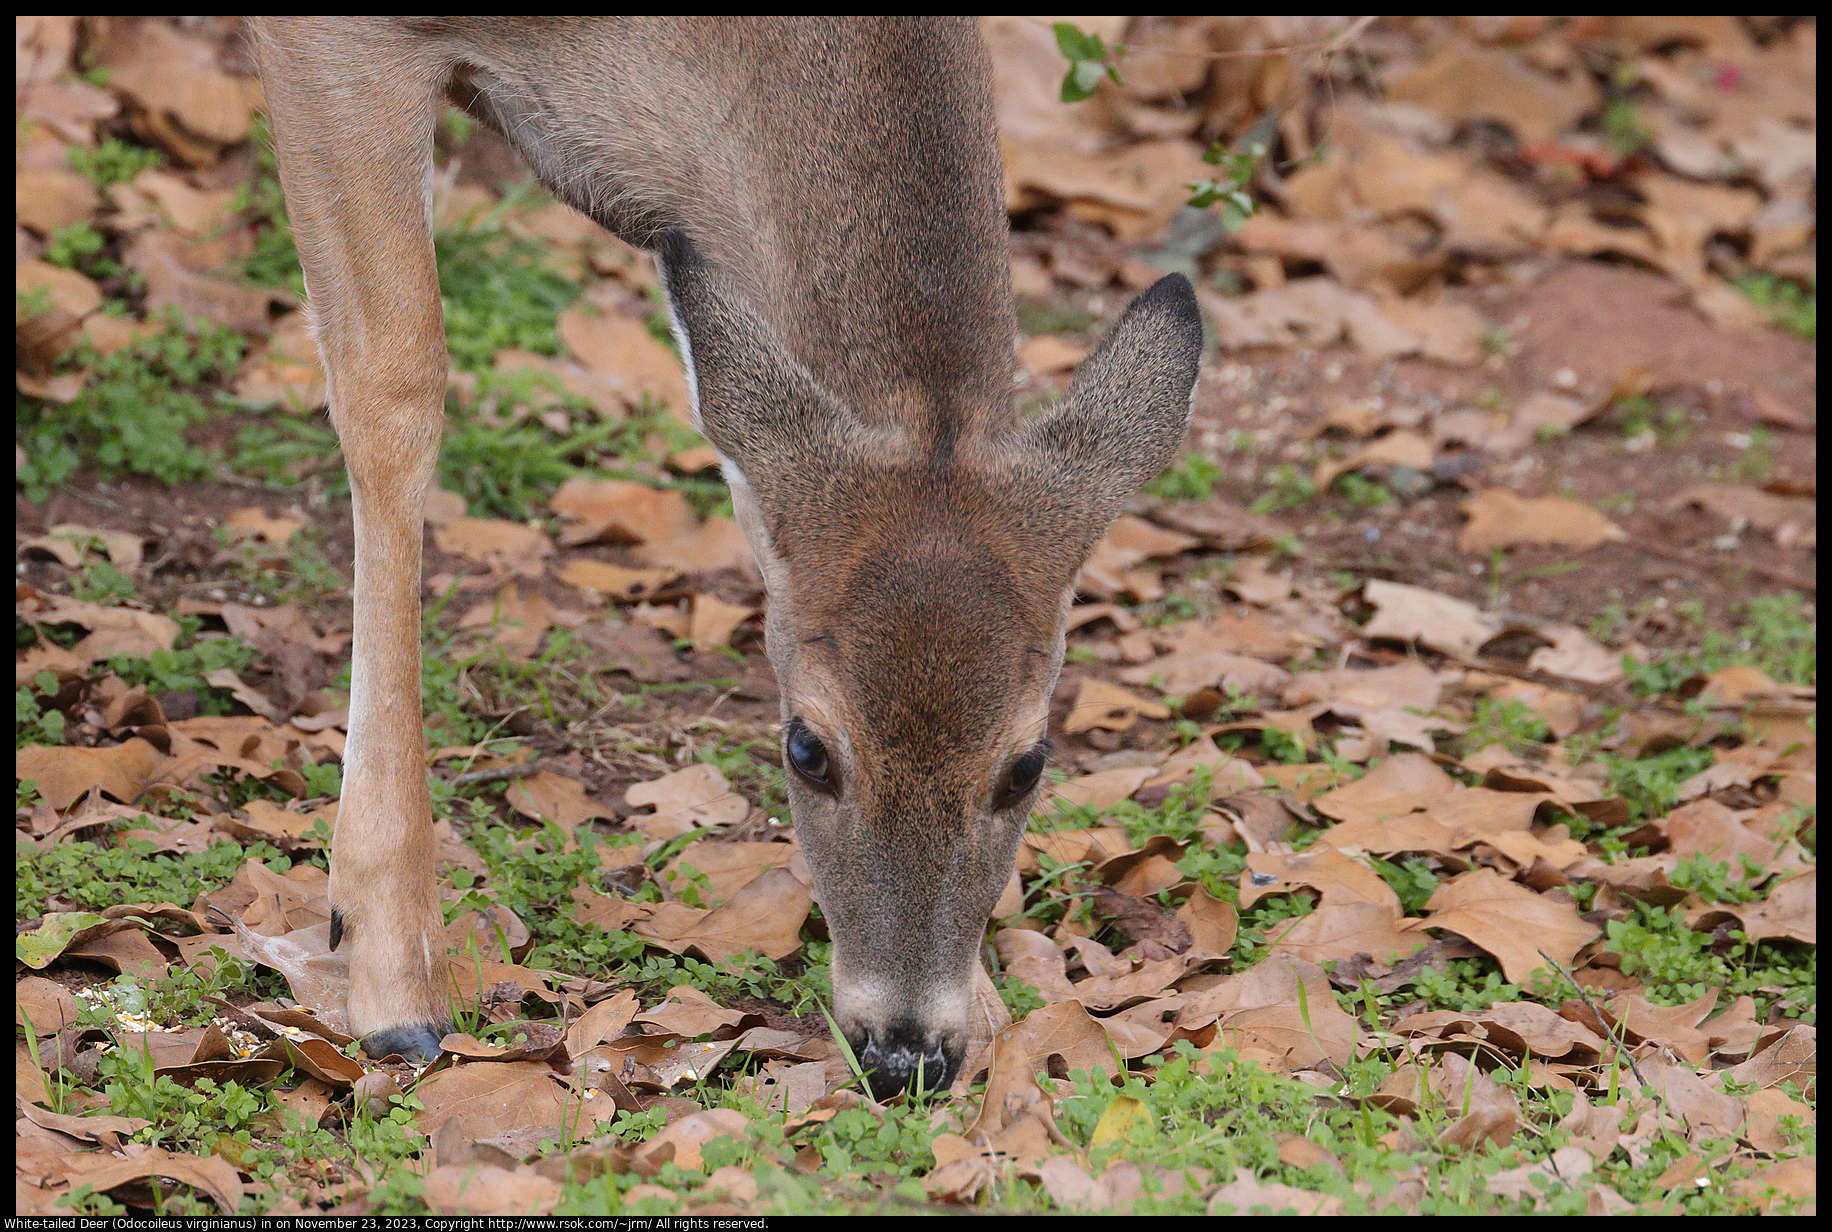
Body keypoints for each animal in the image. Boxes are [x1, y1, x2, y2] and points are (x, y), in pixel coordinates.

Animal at [254, 16, 1201, 1100]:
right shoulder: (333, 40)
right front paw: (392, 975)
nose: (905, 1051)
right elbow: (394, 384)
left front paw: (995, 1009)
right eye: (807, 748)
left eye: (1025, 764)